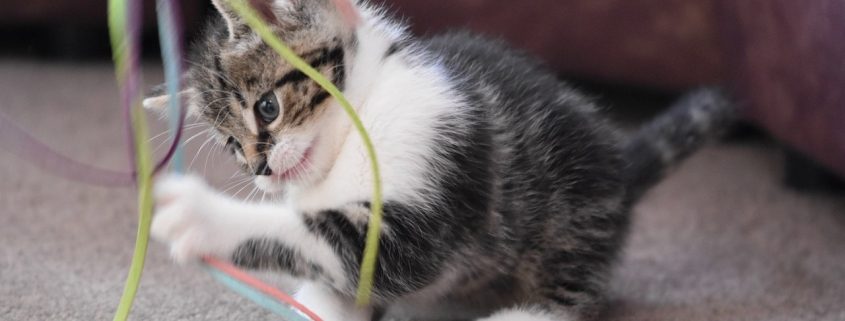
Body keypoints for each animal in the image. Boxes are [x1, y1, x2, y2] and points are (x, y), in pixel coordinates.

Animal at [143, 1, 732, 318]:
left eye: (267, 107)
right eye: (230, 146)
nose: (260, 171)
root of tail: (621, 166)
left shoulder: (436, 173)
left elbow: (328, 239)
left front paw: (201, 214)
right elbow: (335, 275)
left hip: (568, 218)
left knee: (569, 299)